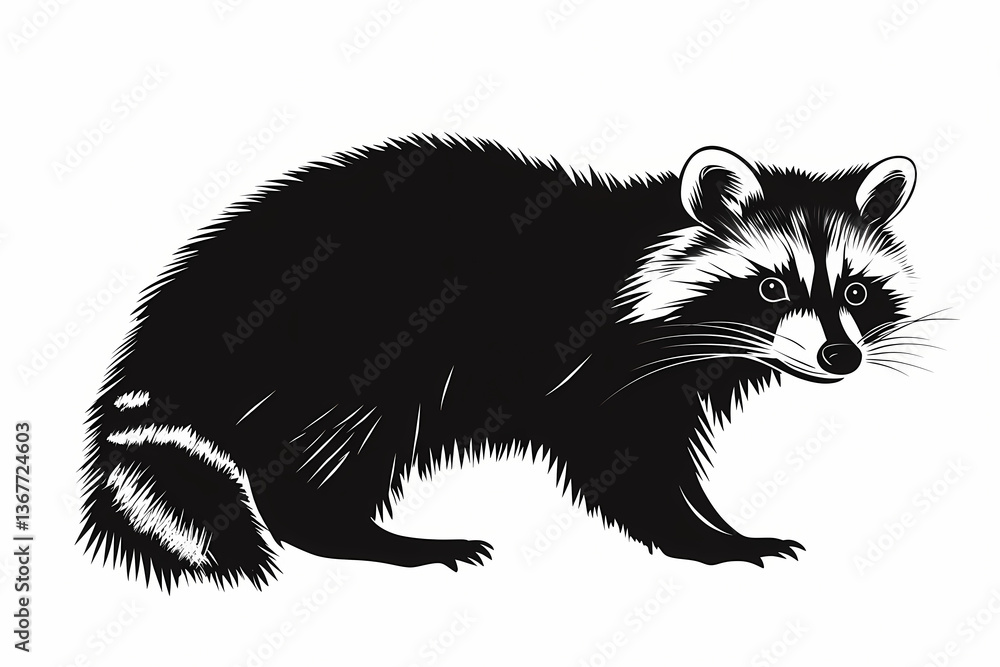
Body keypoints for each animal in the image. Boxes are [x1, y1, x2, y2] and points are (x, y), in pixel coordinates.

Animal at [79, 136, 931, 590]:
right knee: (326, 454)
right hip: (343, 349)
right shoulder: (590, 362)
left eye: (856, 289)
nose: (840, 354)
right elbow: (627, 467)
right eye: (772, 286)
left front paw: (716, 523)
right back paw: (360, 535)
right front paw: (705, 538)